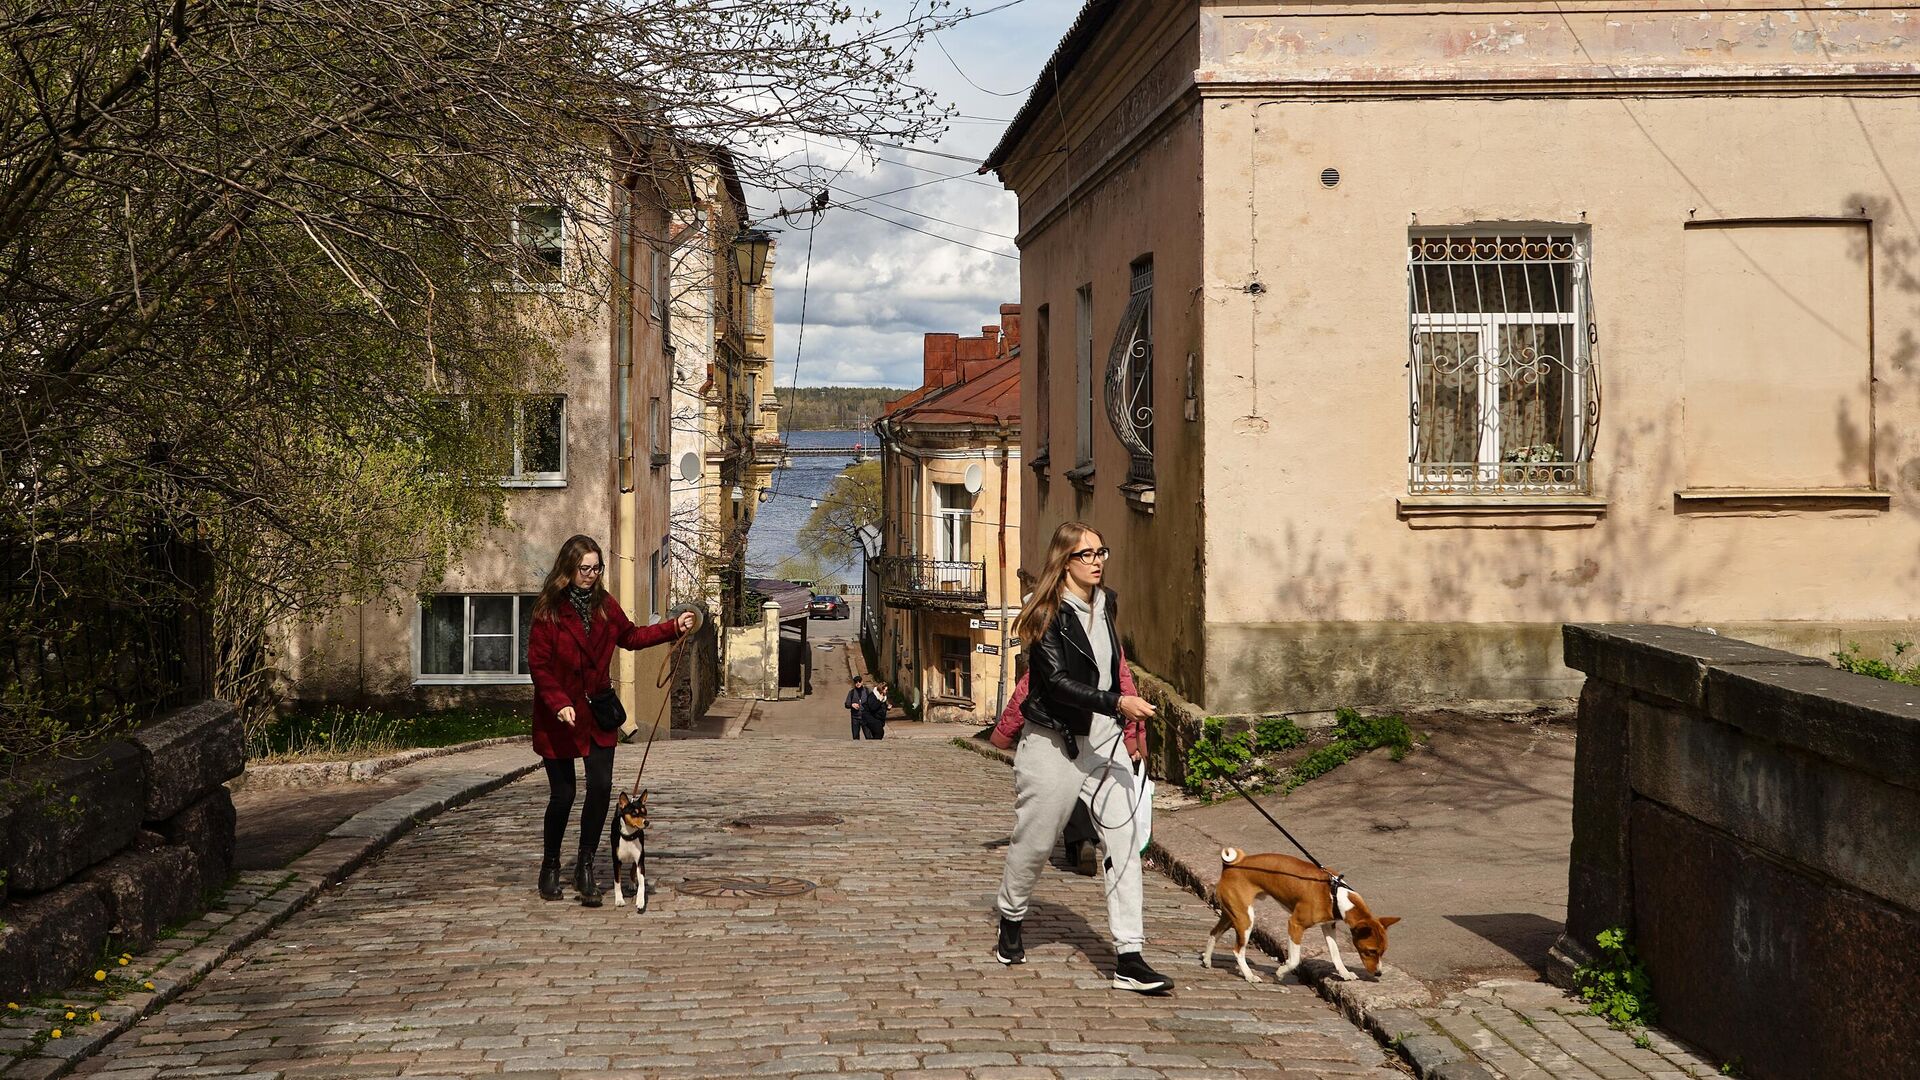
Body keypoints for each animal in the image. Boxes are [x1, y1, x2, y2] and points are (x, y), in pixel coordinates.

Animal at [1198, 845, 1397, 980]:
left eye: (1383, 951)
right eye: (1371, 951)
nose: (1379, 973)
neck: (1335, 895)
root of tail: (1233, 865)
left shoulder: (1328, 926)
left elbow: (1336, 954)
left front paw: (1345, 974)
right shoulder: (1295, 924)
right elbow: (1294, 960)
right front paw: (1281, 971)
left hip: (1232, 915)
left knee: (1213, 933)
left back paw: (1207, 960)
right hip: (1245, 919)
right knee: (1237, 950)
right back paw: (1249, 975)